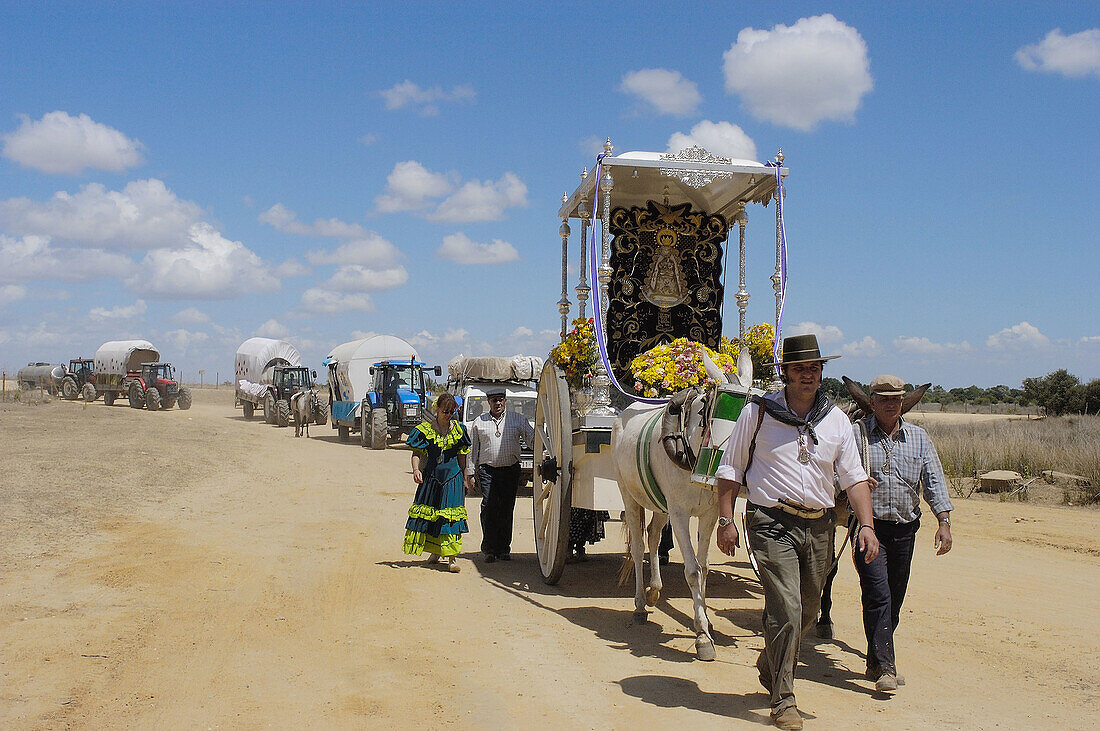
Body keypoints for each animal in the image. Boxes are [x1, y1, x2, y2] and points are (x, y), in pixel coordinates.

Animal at [611, 349, 748, 659]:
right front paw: (703, 637)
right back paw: (640, 604)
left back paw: (654, 590)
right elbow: (693, 570)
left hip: (661, 503)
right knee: (638, 547)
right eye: (725, 409)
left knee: (653, 535)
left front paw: (706, 621)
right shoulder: (681, 514)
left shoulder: (708, 514)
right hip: (630, 495)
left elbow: (705, 567)